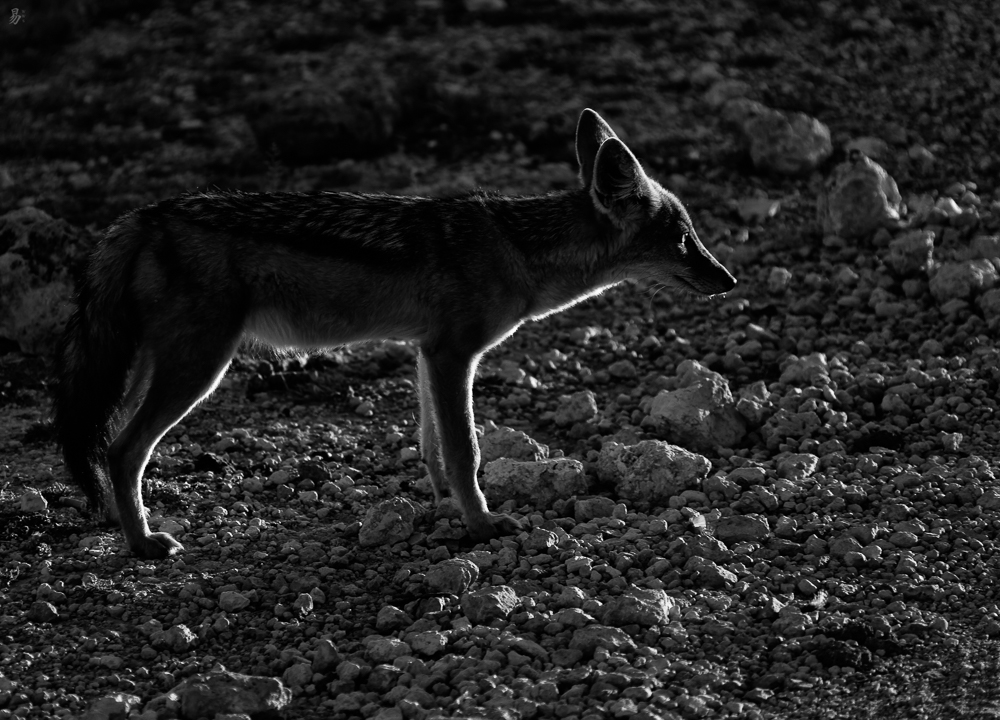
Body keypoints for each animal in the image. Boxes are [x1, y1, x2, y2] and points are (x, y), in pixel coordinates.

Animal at [52, 108, 736, 556]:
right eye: (682, 239)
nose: (729, 279)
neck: (517, 248)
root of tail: (142, 216)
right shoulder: (453, 354)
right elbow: (465, 449)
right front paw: (483, 527)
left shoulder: (426, 353)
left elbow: (434, 446)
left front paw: (440, 506)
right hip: (199, 369)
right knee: (122, 449)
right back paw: (144, 543)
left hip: (154, 369)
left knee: (108, 444)